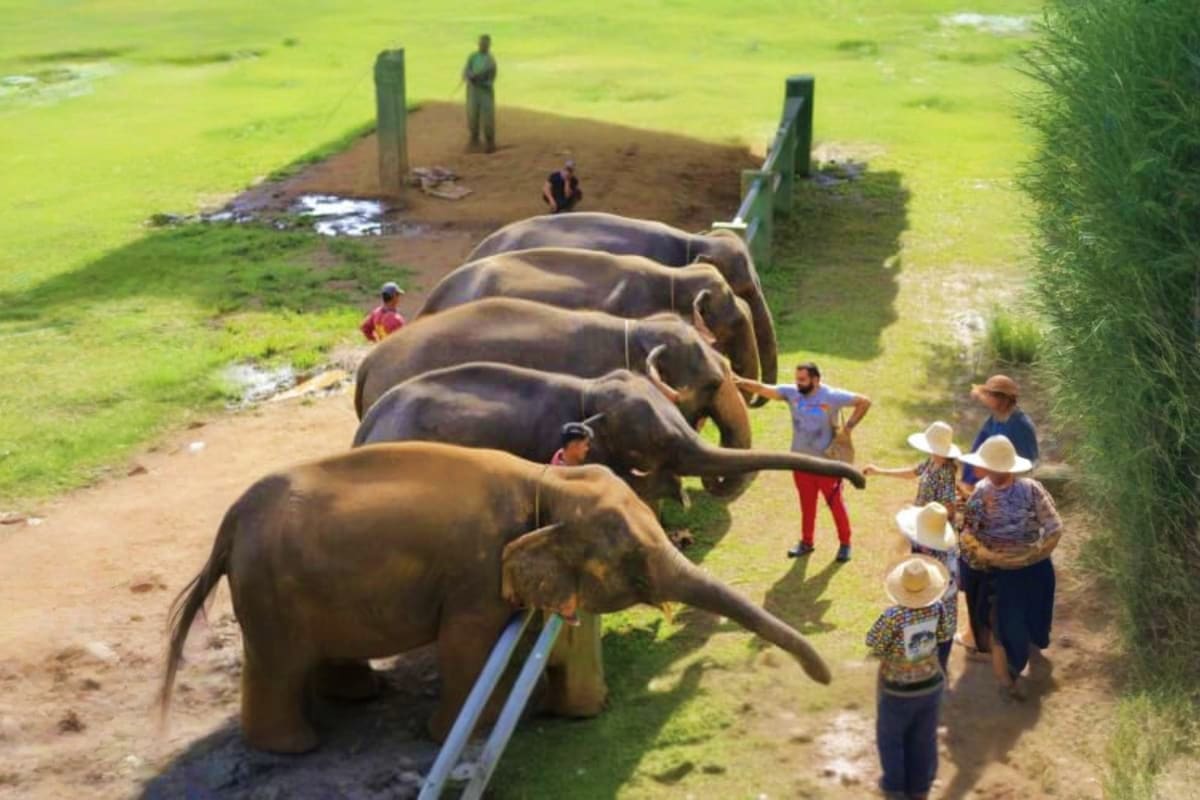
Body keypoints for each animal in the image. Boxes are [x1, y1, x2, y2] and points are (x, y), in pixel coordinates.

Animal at [159, 442, 832, 753]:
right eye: (636, 566)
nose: (821, 678)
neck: (546, 480)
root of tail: (232, 521)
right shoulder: (474, 574)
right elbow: (469, 648)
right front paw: (450, 736)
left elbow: (570, 628)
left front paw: (583, 710)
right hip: (271, 595)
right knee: (277, 664)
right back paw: (295, 746)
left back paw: (360, 696)